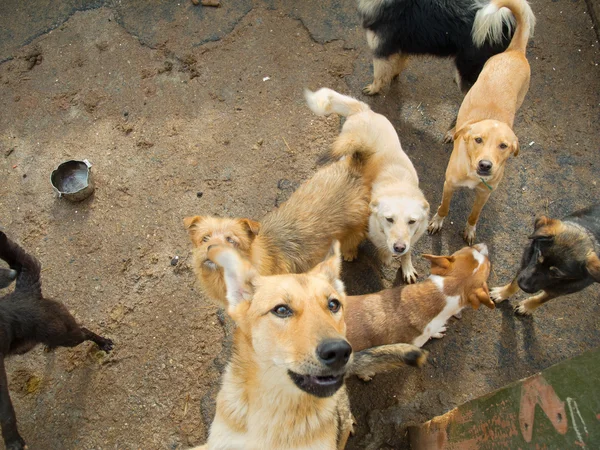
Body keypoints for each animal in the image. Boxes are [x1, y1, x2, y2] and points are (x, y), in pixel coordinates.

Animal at [0, 232, 113, 450]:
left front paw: (13, 442)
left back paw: (102, 343)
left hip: (65, 335)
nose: (10, 275)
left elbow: (6, 415)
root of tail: (25, 292)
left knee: (84, 331)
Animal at [184, 140, 370, 306]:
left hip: (354, 227)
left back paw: (349, 253)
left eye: (231, 240)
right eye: (204, 239)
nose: (210, 248)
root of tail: (352, 168)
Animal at [304, 88, 432, 284]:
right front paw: (383, 256)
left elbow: (409, 251)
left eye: (412, 221)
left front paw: (407, 266)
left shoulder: (414, 234)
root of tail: (362, 109)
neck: (398, 183)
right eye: (389, 219)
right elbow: (379, 245)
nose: (399, 247)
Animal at [426, 0, 536, 244]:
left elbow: (474, 215)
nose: (486, 165)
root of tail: (515, 51)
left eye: (503, 146)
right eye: (478, 140)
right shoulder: (448, 184)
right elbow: (444, 208)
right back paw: (452, 132)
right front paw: (437, 222)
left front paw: (469, 230)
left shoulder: (485, 194)